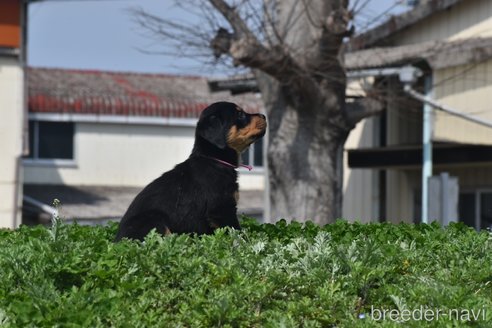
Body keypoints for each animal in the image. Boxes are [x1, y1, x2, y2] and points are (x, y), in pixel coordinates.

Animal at [114, 102, 268, 241]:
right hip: (154, 220)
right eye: (240, 114)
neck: (213, 159)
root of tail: (118, 242)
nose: (264, 116)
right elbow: (238, 234)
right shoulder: (222, 209)